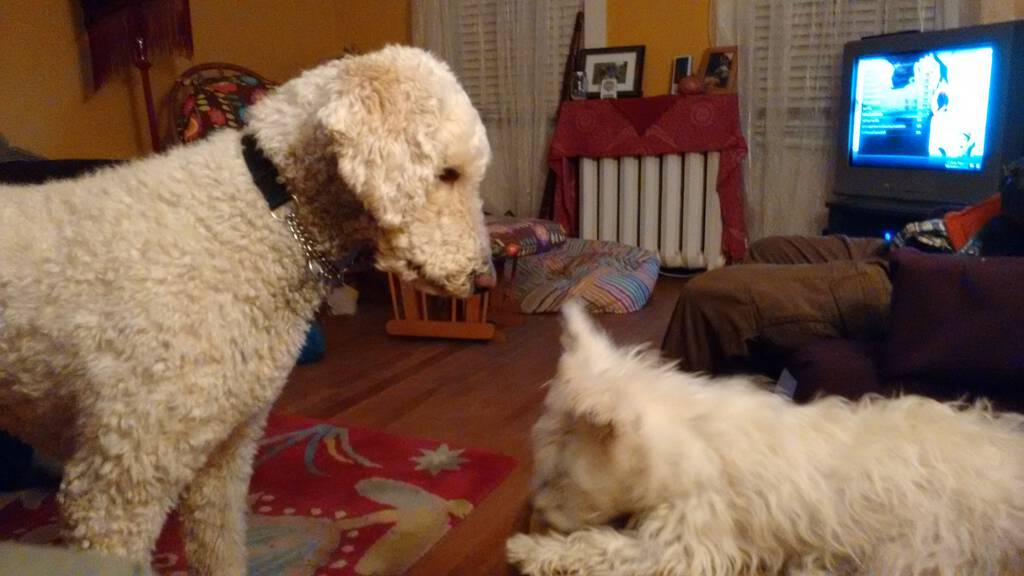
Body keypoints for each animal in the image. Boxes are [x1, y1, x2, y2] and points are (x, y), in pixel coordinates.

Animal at [0, 45, 493, 573]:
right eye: (448, 173)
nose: (486, 277)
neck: (268, 208)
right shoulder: (117, 490)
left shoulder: (225, 456)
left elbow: (221, 546)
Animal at [507, 303, 1024, 569]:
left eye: (558, 477)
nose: (535, 513)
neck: (690, 440)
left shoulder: (688, 545)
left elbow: (600, 547)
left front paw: (529, 550)